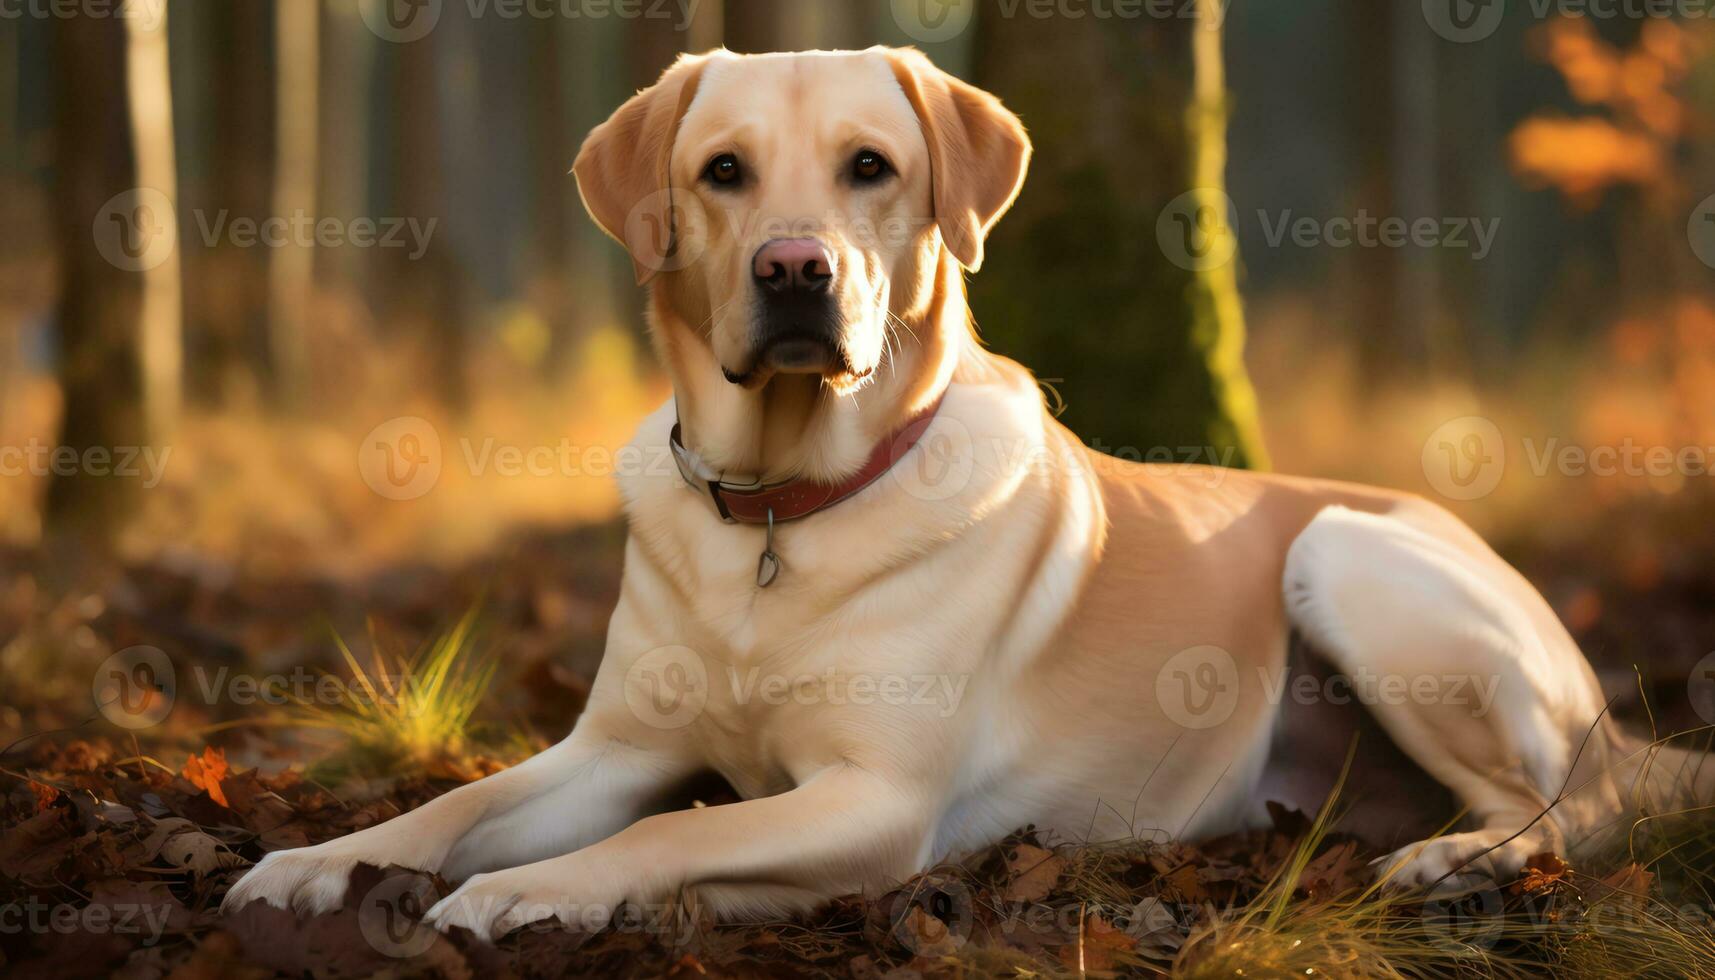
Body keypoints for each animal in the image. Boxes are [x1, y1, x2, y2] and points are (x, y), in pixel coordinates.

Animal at [224, 49, 1701, 940]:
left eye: (870, 167)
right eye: (721, 171)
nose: (794, 271)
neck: (779, 510)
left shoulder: (872, 801)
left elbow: (660, 839)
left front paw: (526, 893)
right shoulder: (616, 745)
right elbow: (454, 804)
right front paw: (318, 861)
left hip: (1349, 555)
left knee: (1576, 807)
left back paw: (1460, 861)